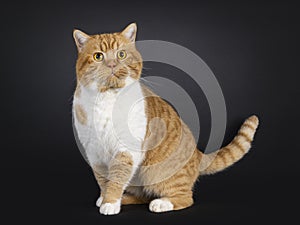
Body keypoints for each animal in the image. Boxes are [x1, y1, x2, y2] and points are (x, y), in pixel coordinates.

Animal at [72, 23, 258, 215]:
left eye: (121, 54)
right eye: (98, 56)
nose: (112, 64)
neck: (107, 99)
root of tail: (197, 153)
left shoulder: (126, 149)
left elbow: (117, 178)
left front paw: (110, 202)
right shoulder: (94, 152)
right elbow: (104, 181)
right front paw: (106, 199)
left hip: (158, 174)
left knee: (185, 197)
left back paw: (162, 203)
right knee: (142, 195)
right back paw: (126, 199)